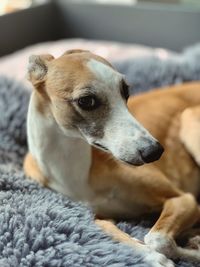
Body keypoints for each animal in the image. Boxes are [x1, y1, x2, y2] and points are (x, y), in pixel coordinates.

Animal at [23, 50, 200, 267]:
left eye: (126, 91)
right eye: (86, 101)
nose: (154, 151)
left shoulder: (183, 199)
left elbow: (156, 239)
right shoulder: (94, 219)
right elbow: (119, 234)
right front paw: (153, 256)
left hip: (189, 118)